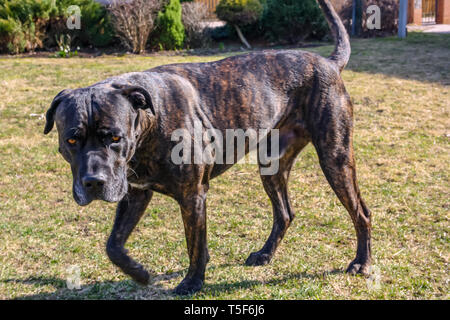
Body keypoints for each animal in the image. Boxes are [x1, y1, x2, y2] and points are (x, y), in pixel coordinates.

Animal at [44, 0, 370, 296]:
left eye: (115, 138)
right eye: (71, 140)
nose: (94, 182)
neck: (149, 123)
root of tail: (328, 63)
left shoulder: (193, 195)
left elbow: (195, 245)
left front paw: (192, 283)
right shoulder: (135, 193)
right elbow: (114, 245)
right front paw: (139, 273)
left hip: (335, 159)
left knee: (361, 212)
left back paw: (361, 262)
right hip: (272, 165)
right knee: (285, 213)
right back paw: (265, 254)